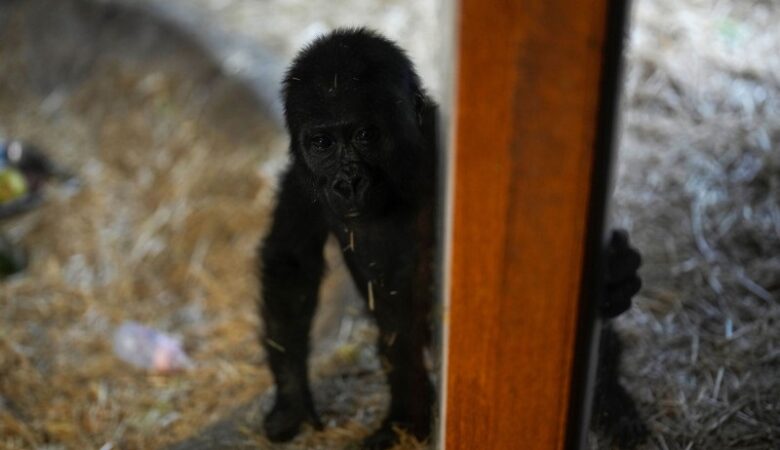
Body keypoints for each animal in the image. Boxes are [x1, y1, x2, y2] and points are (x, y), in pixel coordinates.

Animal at [258, 29, 644, 450]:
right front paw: (292, 399)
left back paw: (612, 402)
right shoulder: (300, 182)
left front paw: (612, 279)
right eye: (322, 143)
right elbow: (291, 267)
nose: (348, 182)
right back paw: (406, 419)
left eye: (365, 135)